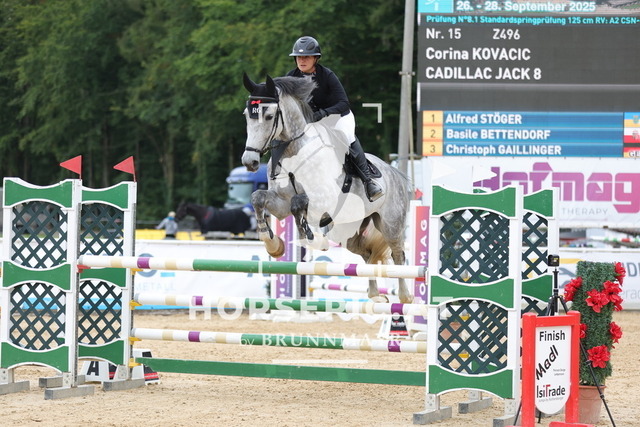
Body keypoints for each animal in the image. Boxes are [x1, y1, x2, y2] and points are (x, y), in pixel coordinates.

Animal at [241, 73, 413, 304]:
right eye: (247, 116)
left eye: (268, 116)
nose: (249, 161)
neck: (293, 152)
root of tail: (395, 173)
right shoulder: (280, 202)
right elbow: (258, 197)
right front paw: (273, 244)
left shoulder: (324, 199)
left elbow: (298, 203)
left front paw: (310, 237)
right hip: (349, 230)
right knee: (367, 254)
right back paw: (375, 296)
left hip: (391, 225)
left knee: (398, 254)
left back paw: (405, 297)